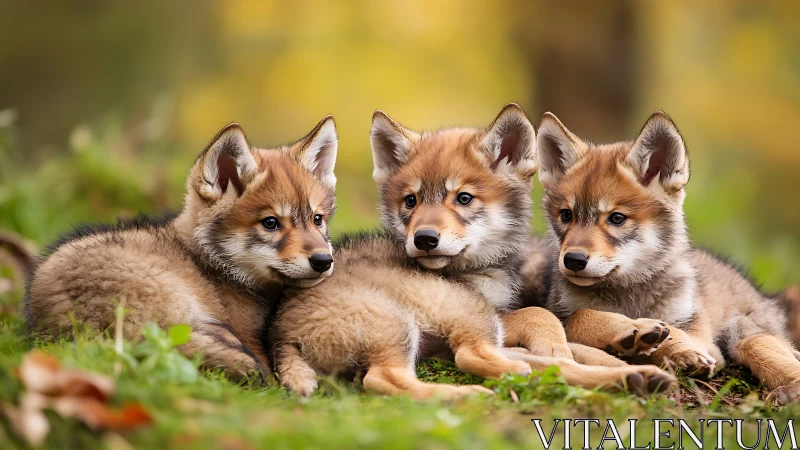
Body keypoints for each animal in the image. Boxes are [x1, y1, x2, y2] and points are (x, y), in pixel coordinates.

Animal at [270, 105, 675, 399]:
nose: (424, 239)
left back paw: (636, 377)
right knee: (395, 376)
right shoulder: (493, 313)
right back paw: (469, 394)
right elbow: (544, 319)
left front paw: (635, 341)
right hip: (414, 321)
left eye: (463, 198)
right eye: (411, 201)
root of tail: (280, 333)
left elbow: (574, 344)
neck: (478, 272)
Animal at [536, 111, 800, 401]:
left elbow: (674, 331)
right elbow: (580, 316)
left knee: (762, 345)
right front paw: (634, 333)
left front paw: (678, 349)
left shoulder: (697, 330)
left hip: (745, 330)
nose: (573, 260)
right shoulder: (562, 312)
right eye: (566, 215)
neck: (628, 296)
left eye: (617, 218)